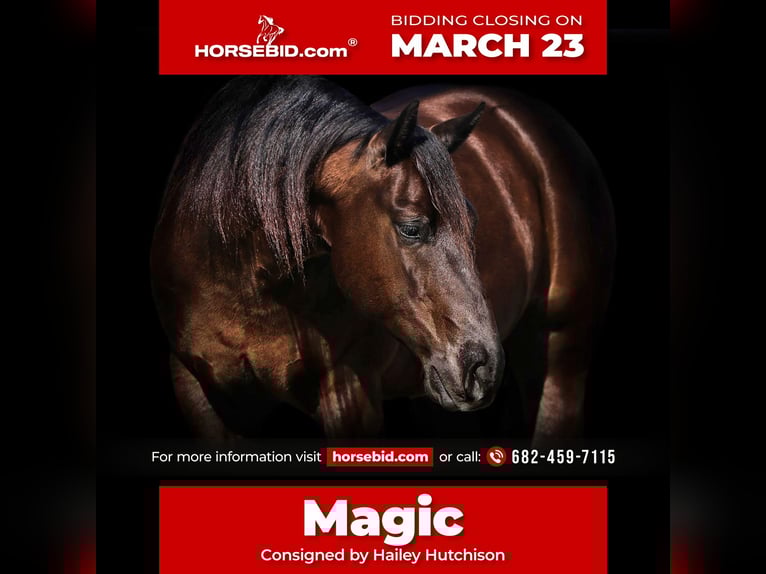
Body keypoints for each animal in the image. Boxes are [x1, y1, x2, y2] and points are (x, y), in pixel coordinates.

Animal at [150, 76, 615, 441]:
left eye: (473, 221)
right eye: (411, 227)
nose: (484, 365)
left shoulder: (349, 398)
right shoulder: (202, 395)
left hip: (560, 358)